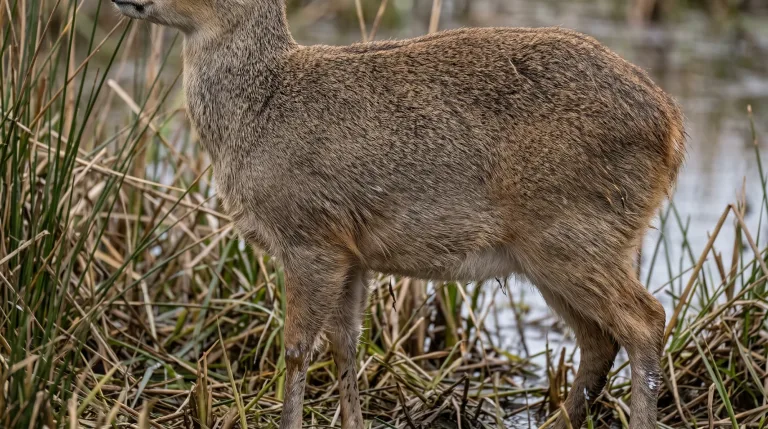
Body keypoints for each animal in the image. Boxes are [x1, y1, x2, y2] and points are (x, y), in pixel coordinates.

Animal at [112, 0, 686, 428]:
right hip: (562, 255)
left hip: (572, 238)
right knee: (599, 341)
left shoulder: (309, 239)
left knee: (645, 321)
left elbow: (296, 350)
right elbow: (345, 346)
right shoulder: (352, 255)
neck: (259, 109)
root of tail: (672, 124)